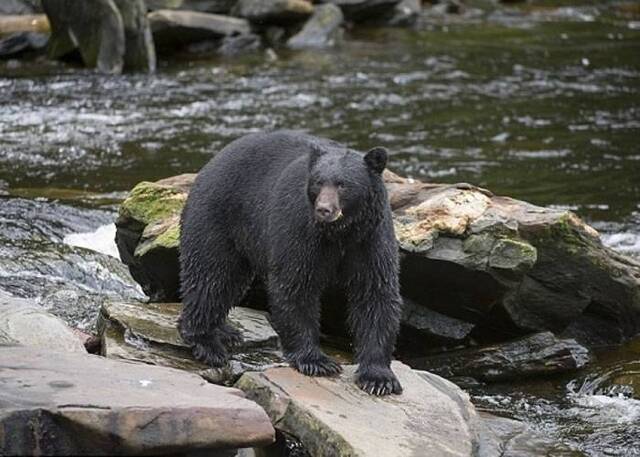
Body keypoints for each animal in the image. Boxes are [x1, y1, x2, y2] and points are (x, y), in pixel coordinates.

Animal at [178, 130, 402, 394]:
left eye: (343, 184)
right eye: (318, 182)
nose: (324, 209)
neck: (340, 233)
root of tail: (210, 163)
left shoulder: (371, 239)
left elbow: (375, 293)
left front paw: (379, 378)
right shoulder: (299, 230)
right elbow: (295, 285)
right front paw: (316, 361)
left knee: (230, 282)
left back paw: (226, 331)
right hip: (218, 217)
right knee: (211, 276)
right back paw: (207, 343)